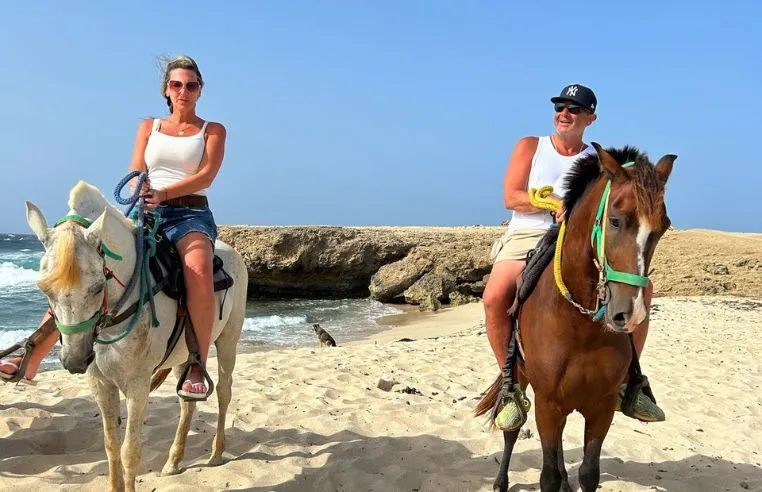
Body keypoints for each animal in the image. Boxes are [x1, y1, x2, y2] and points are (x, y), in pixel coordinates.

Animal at [24, 181, 249, 492]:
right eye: (44, 289)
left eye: (97, 287)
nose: (75, 360)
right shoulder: (101, 385)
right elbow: (111, 446)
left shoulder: (137, 387)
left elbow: (129, 453)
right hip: (185, 354)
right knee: (187, 403)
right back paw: (174, 461)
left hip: (228, 340)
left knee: (225, 393)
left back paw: (216, 453)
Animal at [475, 143, 675, 492]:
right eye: (616, 221)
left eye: (662, 226)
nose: (629, 314)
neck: (580, 325)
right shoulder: (547, 404)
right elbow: (548, 476)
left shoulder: (601, 406)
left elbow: (588, 472)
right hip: (521, 378)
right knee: (512, 430)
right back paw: (501, 481)